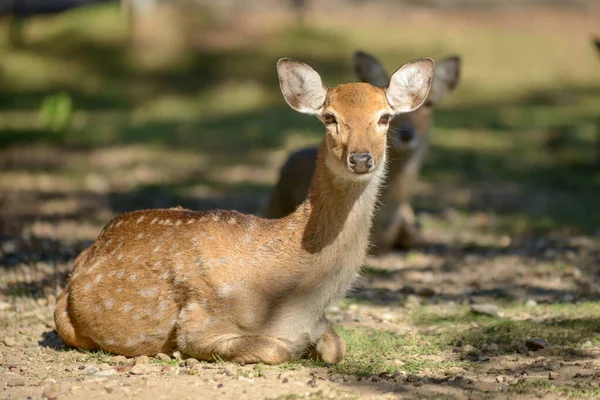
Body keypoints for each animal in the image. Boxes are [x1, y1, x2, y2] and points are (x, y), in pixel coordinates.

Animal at [54, 56, 434, 366]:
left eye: (384, 117)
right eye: (329, 117)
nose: (361, 158)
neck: (295, 300)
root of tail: (89, 250)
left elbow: (336, 347)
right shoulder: (199, 325)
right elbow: (275, 349)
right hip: (64, 320)